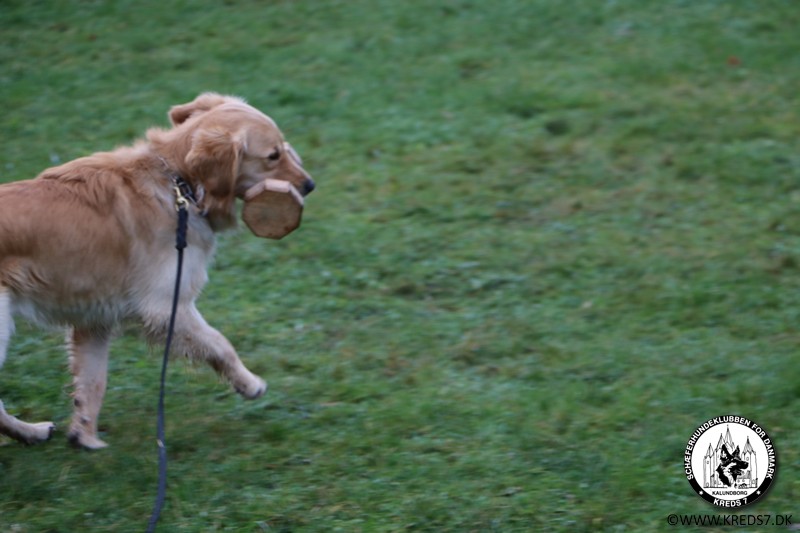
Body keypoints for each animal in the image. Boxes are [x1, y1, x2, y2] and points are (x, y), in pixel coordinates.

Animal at [0, 93, 314, 449]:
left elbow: (94, 381)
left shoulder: (94, 320)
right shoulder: (165, 305)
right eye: (273, 155)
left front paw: (85, 437)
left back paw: (31, 432)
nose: (310, 184)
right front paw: (249, 384)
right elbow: (220, 343)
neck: (180, 183)